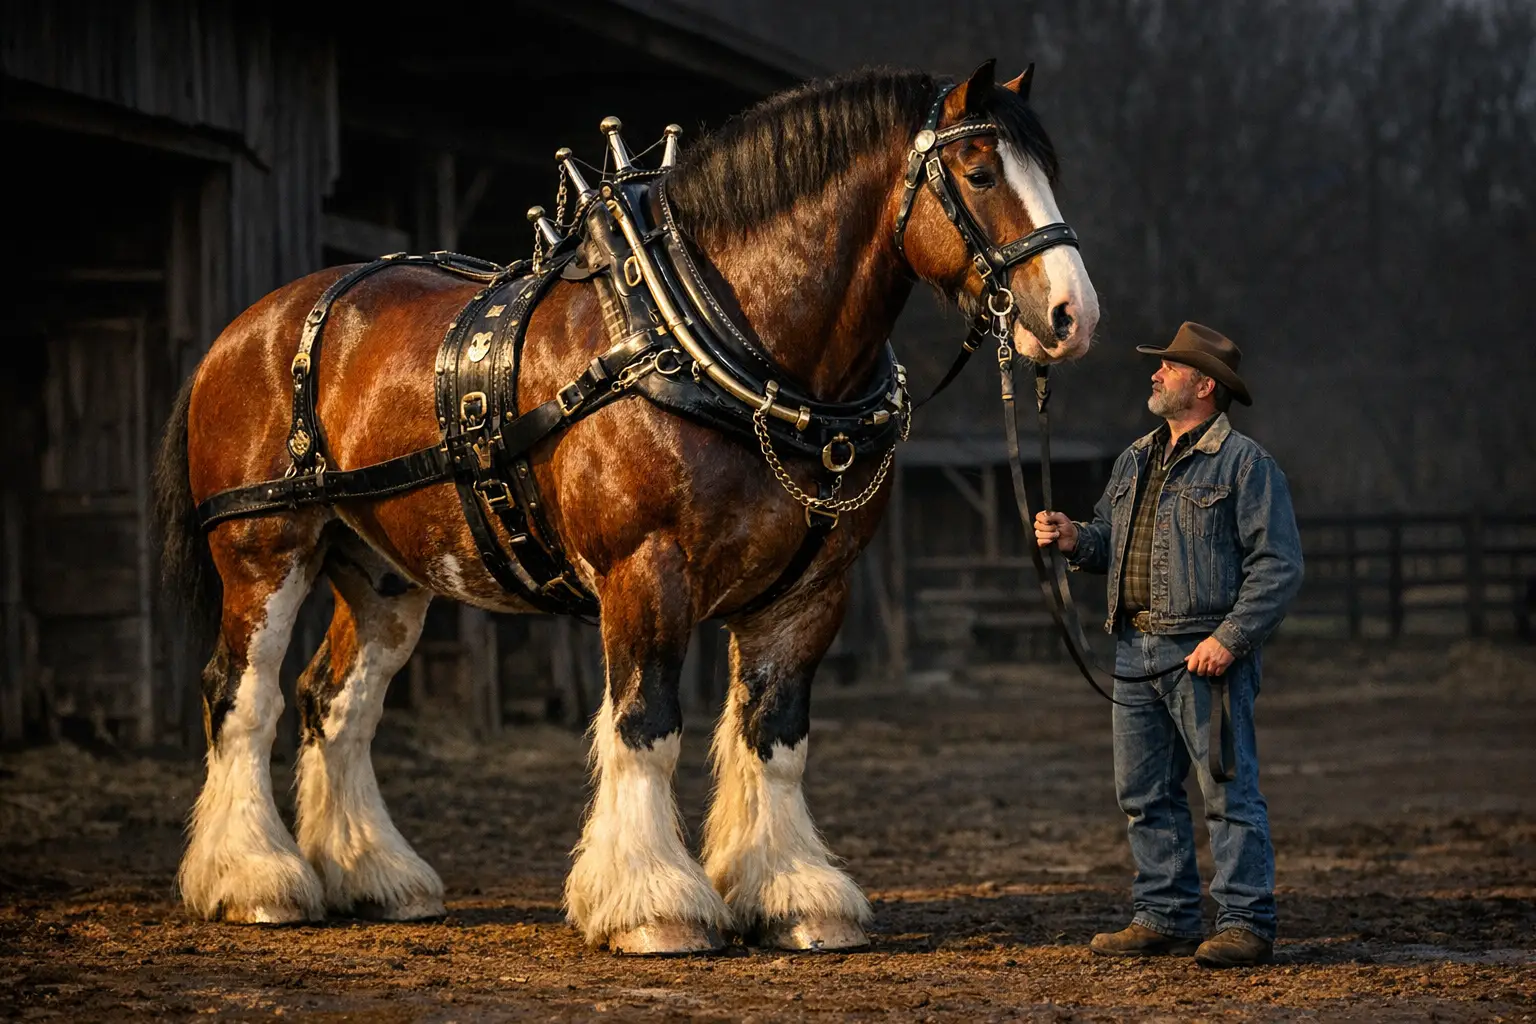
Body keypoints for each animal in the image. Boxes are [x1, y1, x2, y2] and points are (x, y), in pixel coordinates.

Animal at [152, 60, 1099, 954]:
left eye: (1050, 170)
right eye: (980, 172)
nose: (1072, 316)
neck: (718, 342)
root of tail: (247, 329)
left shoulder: (809, 592)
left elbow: (775, 736)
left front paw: (793, 894)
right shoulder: (645, 572)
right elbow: (646, 725)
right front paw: (653, 904)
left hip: (383, 573)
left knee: (335, 702)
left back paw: (374, 874)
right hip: (264, 550)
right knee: (242, 695)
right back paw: (254, 879)